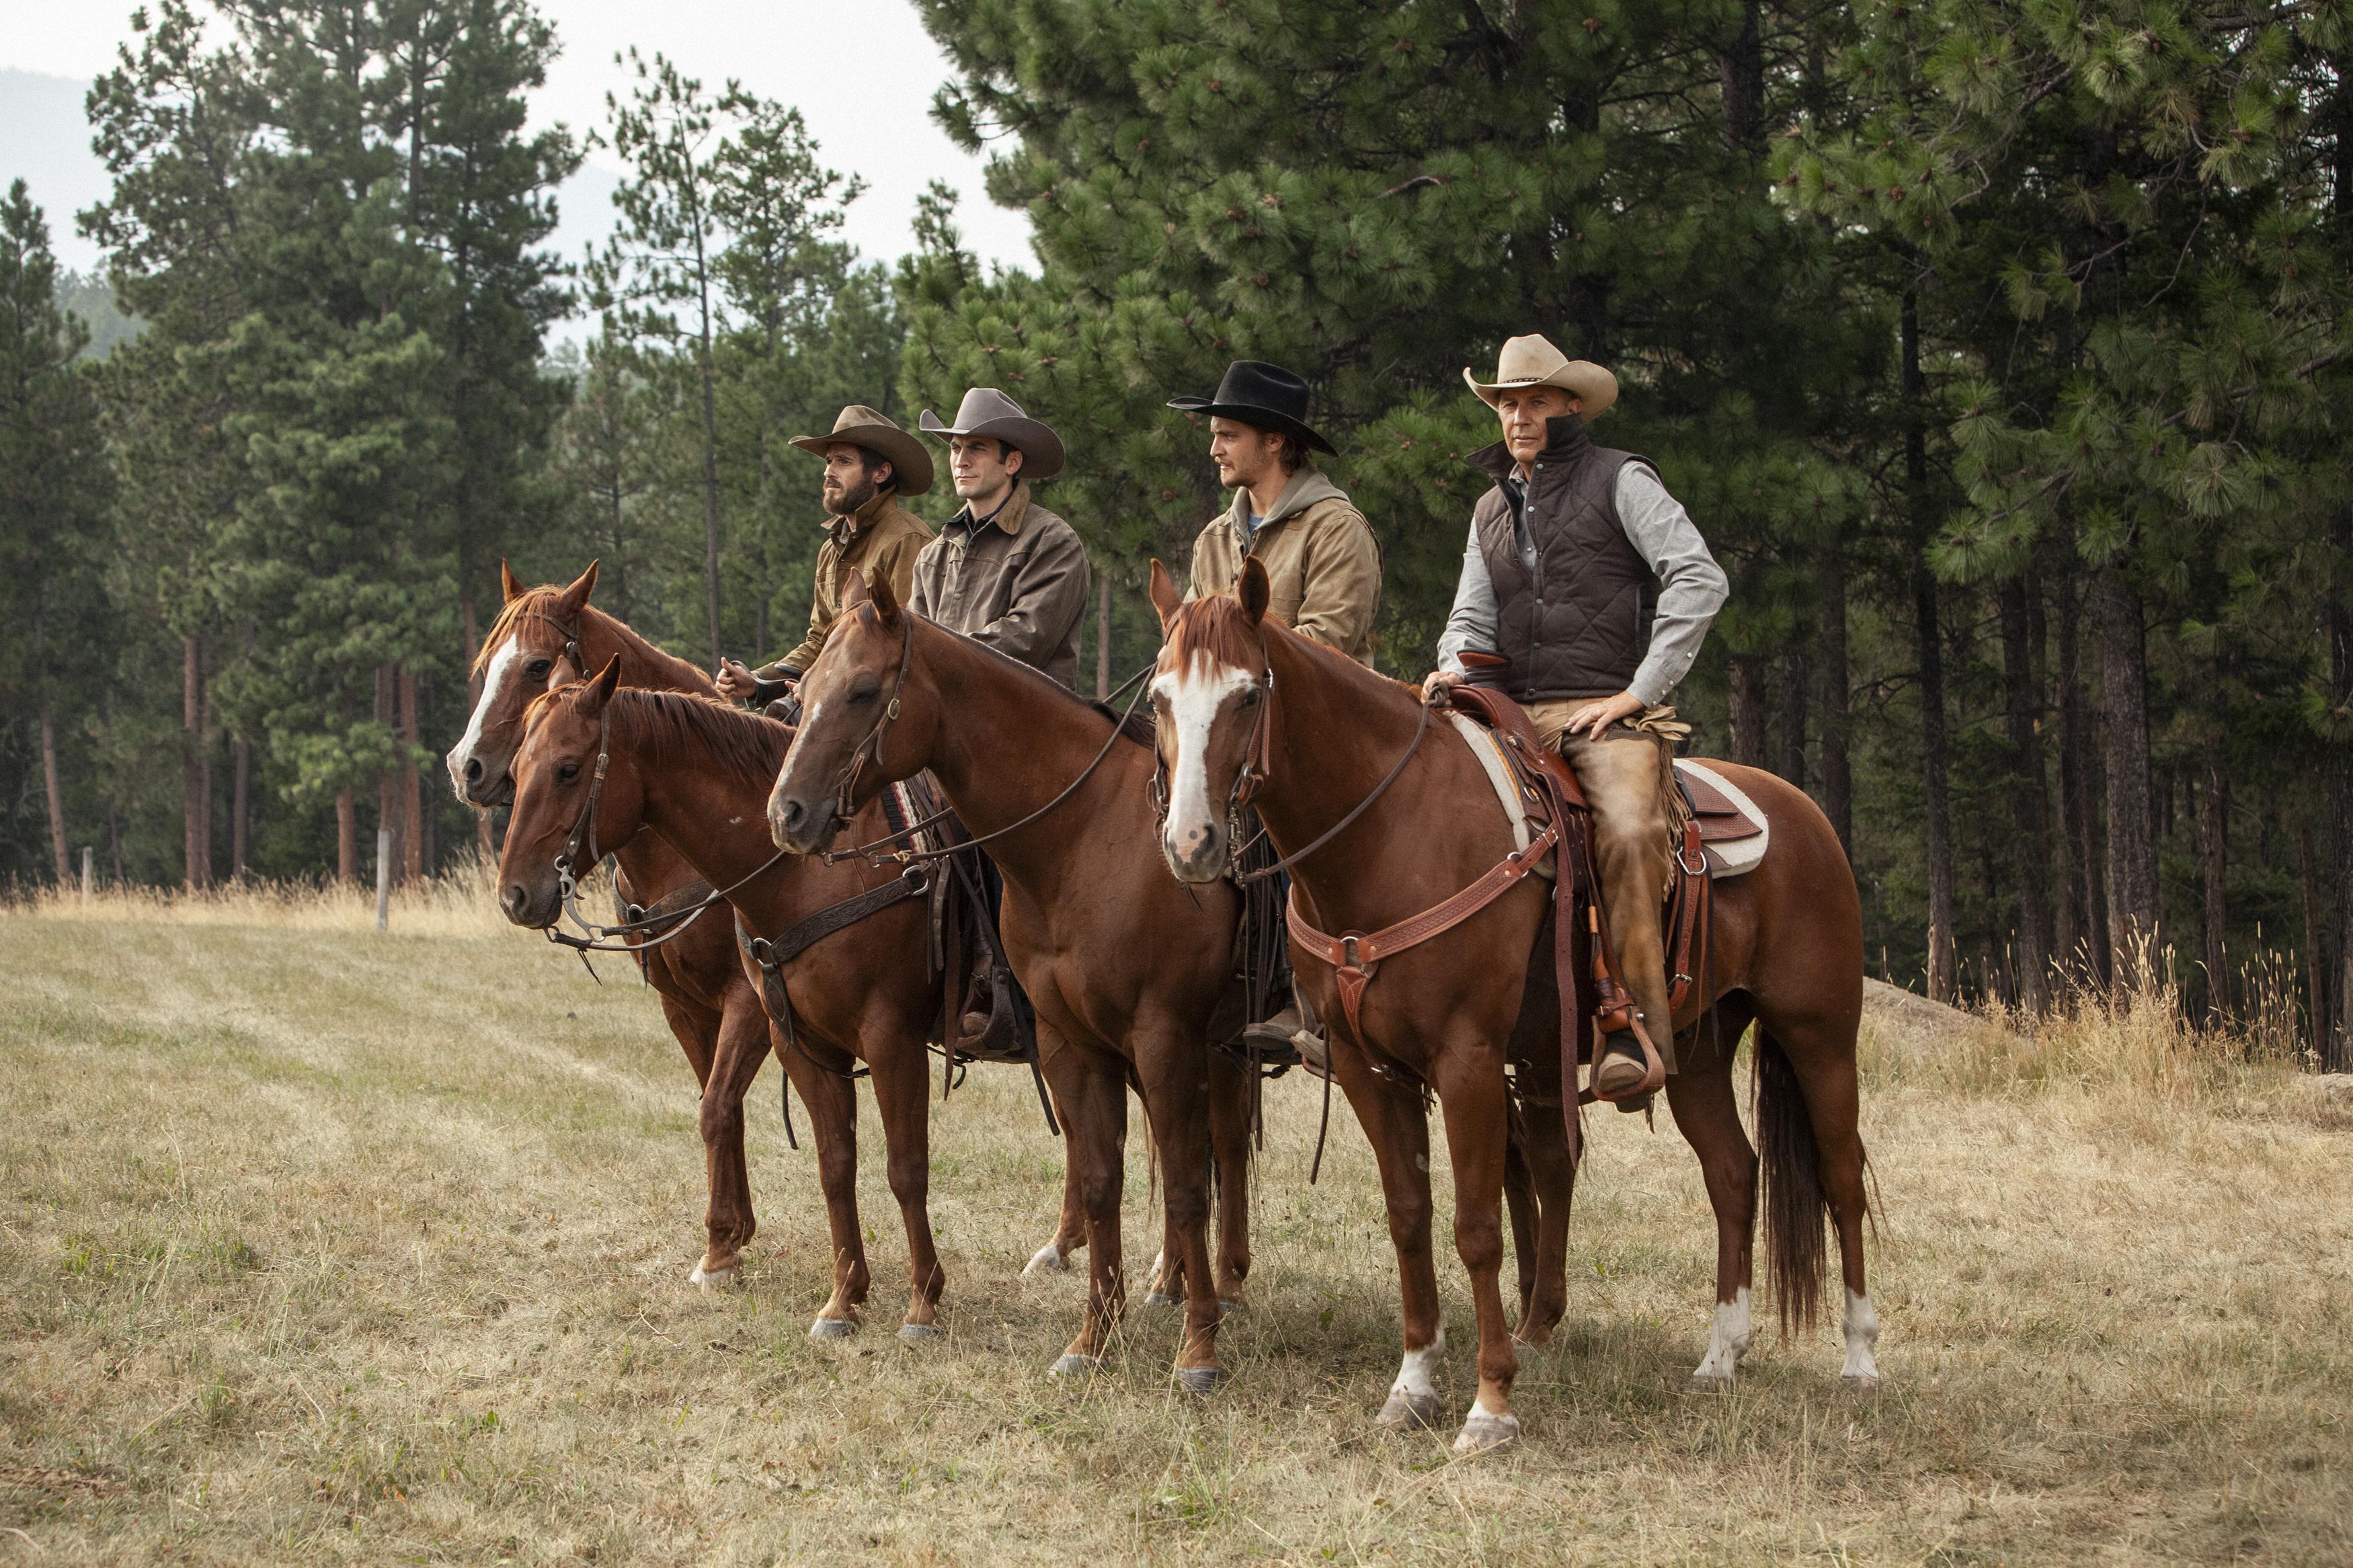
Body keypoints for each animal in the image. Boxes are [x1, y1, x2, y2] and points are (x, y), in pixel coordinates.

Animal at [442, 564, 772, 1288]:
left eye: (538, 665)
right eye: (485, 663)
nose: (465, 767)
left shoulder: (752, 1000)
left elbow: (717, 1106)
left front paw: (720, 1247)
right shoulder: (683, 1005)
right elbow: (718, 1104)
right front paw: (732, 1235)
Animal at [499, 658, 955, 1344]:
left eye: (569, 768)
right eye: (518, 768)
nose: (514, 894)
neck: (815, 867)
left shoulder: (874, 1033)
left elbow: (896, 1162)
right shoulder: (731, 1018)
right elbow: (795, 1142)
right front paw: (744, 1249)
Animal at [762, 575, 1261, 1401]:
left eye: (863, 689)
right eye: (802, 694)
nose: (788, 812)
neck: (1087, 837)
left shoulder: (1163, 1035)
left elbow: (1189, 1183)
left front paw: (1198, 1350)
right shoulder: (1073, 1042)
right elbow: (1102, 1179)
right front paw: (1093, 1337)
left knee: (1220, 1150)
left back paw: (1221, 1287)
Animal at [1148, 556, 1882, 1457]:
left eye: (1248, 694)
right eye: (1158, 697)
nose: (1191, 844)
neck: (1392, 830)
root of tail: (1804, 813)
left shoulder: (1465, 1059)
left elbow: (1475, 1224)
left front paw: (1490, 1401)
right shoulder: (1365, 1067)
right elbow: (1409, 1215)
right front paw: (1411, 1384)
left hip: (1818, 1036)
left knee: (1840, 1174)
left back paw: (1858, 1358)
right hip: (1697, 1052)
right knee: (1733, 1174)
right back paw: (1720, 1354)